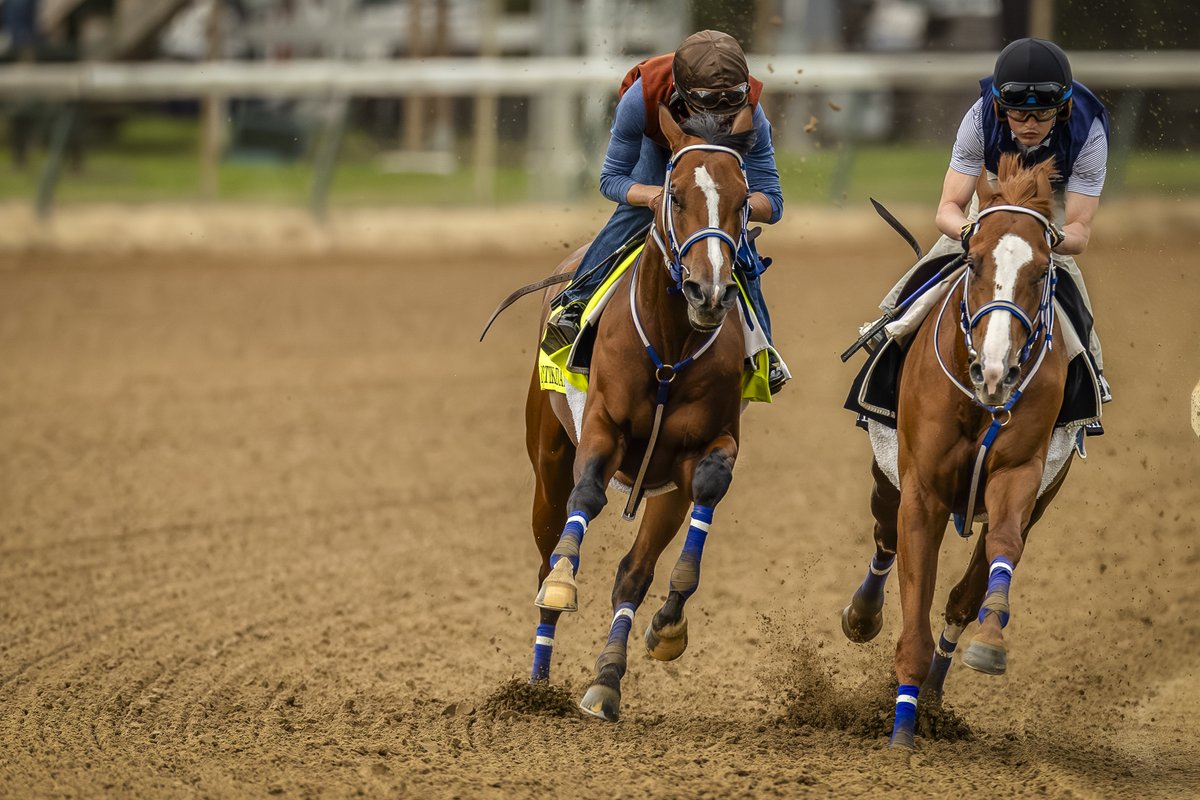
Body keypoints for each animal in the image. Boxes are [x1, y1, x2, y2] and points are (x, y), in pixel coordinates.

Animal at [523, 103, 753, 724]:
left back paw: (606, 681)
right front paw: (564, 583)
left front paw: (669, 623)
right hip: (547, 457)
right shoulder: (601, 429)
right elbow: (586, 498)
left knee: (633, 573)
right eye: (675, 194)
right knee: (547, 548)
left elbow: (710, 484)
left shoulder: (706, 446)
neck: (670, 348)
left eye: (744, 197)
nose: (709, 291)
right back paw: (536, 680)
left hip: (662, 490)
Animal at [840, 154, 1084, 753]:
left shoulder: (1022, 478)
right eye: (973, 263)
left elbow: (991, 563)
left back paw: (932, 698)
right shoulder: (921, 491)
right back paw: (863, 616)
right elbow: (913, 592)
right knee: (884, 537)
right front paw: (901, 733)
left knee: (959, 594)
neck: (978, 399)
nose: (995, 370)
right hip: (886, 474)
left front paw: (989, 639)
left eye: (1041, 271)